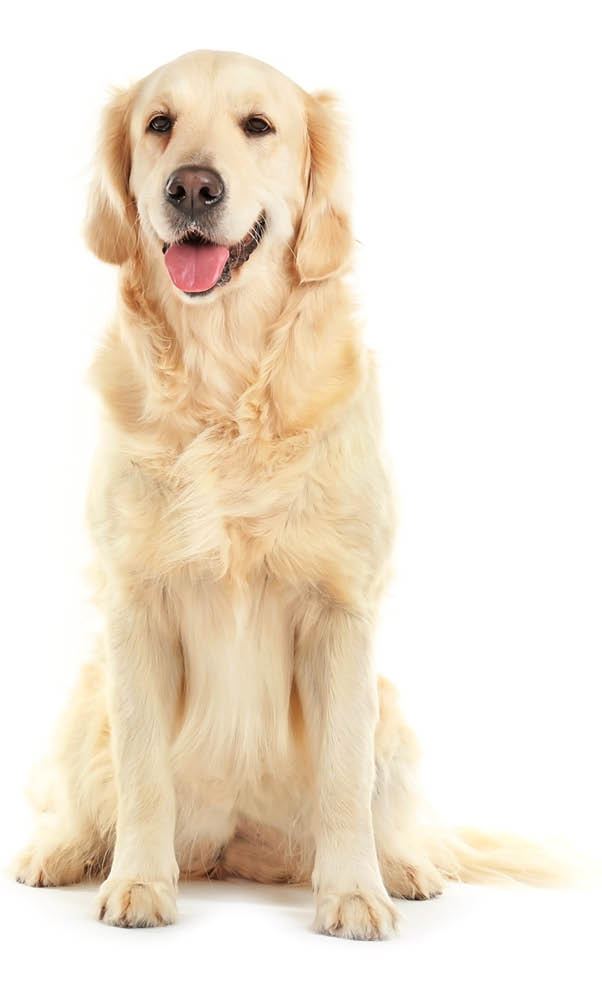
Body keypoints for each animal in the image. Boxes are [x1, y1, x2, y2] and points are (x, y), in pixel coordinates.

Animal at [12, 50, 557, 935]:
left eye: (259, 126)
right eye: (159, 124)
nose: (192, 188)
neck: (225, 381)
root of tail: (233, 851)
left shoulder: (342, 612)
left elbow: (342, 780)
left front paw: (355, 893)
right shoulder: (134, 606)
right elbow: (141, 775)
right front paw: (139, 883)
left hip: (390, 709)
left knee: (383, 809)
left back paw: (404, 866)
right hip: (87, 694)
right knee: (89, 797)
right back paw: (59, 851)